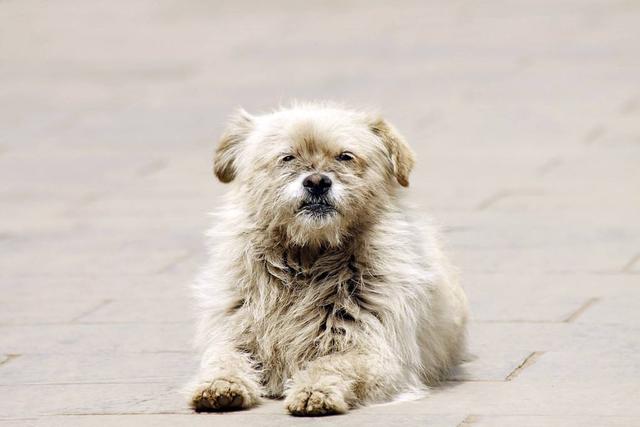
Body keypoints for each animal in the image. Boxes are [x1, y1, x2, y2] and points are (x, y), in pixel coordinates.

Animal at [188, 103, 468, 418]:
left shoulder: (373, 351)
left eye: (345, 156)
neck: (307, 258)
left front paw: (314, 391)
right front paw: (220, 384)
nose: (317, 182)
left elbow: (332, 363)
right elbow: (223, 359)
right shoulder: (234, 335)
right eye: (287, 157)